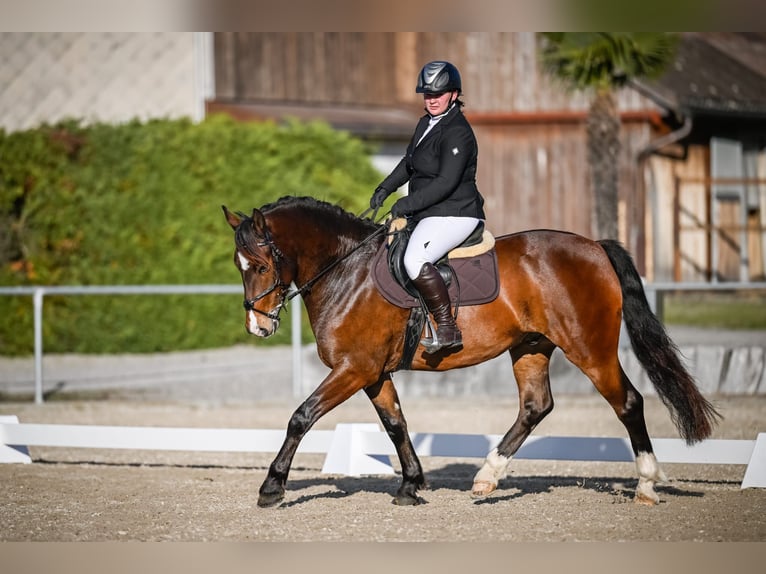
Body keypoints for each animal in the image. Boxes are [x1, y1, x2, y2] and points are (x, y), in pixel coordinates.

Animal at [222, 197, 720, 508]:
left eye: (261, 265)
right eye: (238, 265)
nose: (258, 326)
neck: (346, 269)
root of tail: (595, 247)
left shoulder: (354, 368)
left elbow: (301, 417)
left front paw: (272, 487)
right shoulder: (372, 373)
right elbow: (396, 425)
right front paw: (411, 484)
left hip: (589, 349)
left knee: (628, 403)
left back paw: (647, 486)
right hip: (531, 347)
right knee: (536, 406)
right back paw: (487, 476)